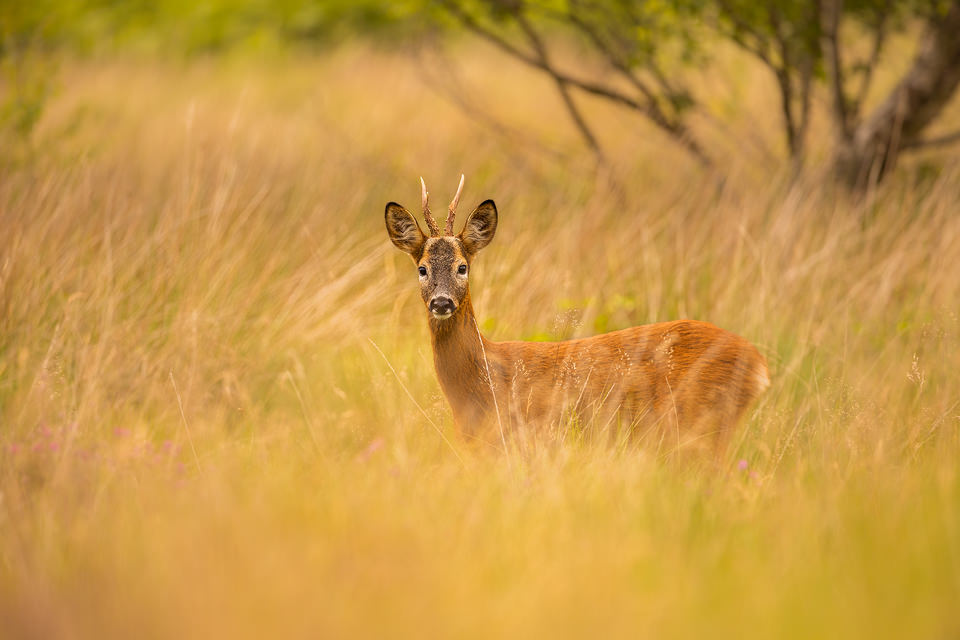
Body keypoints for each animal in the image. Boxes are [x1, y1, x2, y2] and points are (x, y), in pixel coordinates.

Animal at [386, 175, 768, 452]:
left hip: (703, 424)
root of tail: (759, 364)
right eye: (422, 269)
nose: (442, 303)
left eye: (462, 267)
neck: (483, 379)